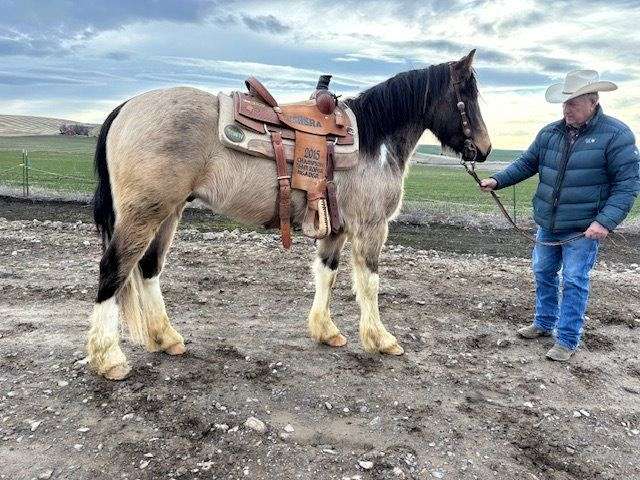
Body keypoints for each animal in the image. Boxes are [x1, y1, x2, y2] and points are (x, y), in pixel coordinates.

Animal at [87, 48, 492, 378]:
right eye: (467, 96)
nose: (485, 149)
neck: (373, 141)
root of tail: (126, 107)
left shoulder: (336, 229)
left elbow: (327, 275)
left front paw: (326, 331)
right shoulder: (370, 227)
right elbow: (369, 283)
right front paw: (381, 339)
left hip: (168, 213)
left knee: (149, 268)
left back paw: (166, 337)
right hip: (144, 214)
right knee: (114, 269)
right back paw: (109, 358)